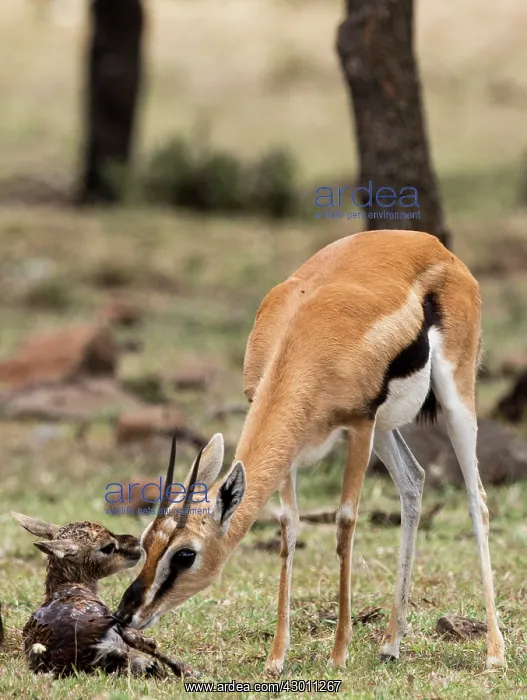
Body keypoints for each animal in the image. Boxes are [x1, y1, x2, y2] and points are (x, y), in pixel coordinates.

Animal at [117, 230, 505, 673]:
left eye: (185, 555)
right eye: (146, 543)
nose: (126, 613)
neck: (300, 343)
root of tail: (433, 245)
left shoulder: (358, 426)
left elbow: (345, 522)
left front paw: (338, 654)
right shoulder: (292, 448)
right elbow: (289, 525)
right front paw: (276, 658)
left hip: (453, 398)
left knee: (476, 500)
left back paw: (494, 653)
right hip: (386, 427)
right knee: (413, 481)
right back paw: (391, 644)